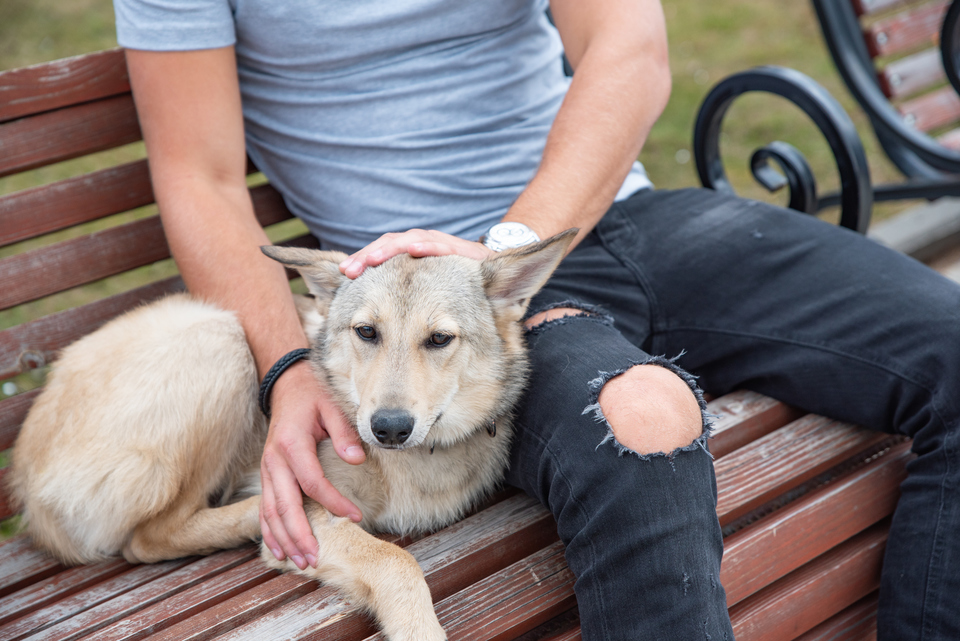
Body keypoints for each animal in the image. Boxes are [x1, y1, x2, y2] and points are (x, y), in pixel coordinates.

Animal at [7, 231, 572, 640]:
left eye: (439, 339)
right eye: (366, 332)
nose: (388, 428)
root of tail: (25, 482)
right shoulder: (331, 517)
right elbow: (397, 561)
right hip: (221, 338)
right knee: (149, 538)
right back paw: (256, 513)